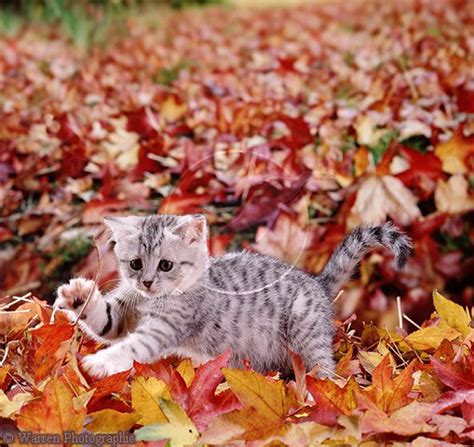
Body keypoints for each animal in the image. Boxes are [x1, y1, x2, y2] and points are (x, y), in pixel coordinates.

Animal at [54, 214, 412, 378]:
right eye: (135, 263)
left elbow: (133, 347)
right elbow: (105, 322)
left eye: (166, 264)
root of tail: (316, 283)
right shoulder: (123, 312)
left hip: (306, 336)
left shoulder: (166, 327)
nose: (147, 282)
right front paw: (78, 295)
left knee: (324, 368)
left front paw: (101, 362)